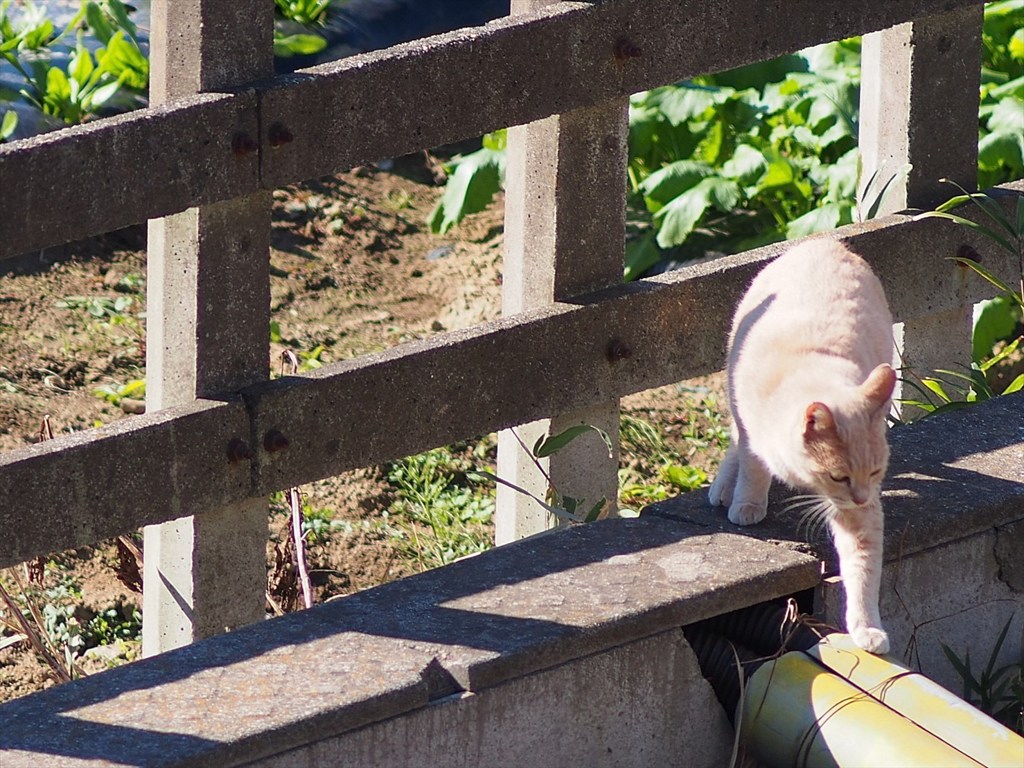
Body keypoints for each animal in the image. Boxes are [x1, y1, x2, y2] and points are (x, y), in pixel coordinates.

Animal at [712, 241, 897, 655]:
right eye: (838, 476)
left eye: (875, 472)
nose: (861, 497)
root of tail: (824, 241)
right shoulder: (752, 432)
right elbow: (753, 467)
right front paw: (748, 504)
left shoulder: (861, 516)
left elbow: (863, 567)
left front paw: (866, 629)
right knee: (735, 443)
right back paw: (724, 489)